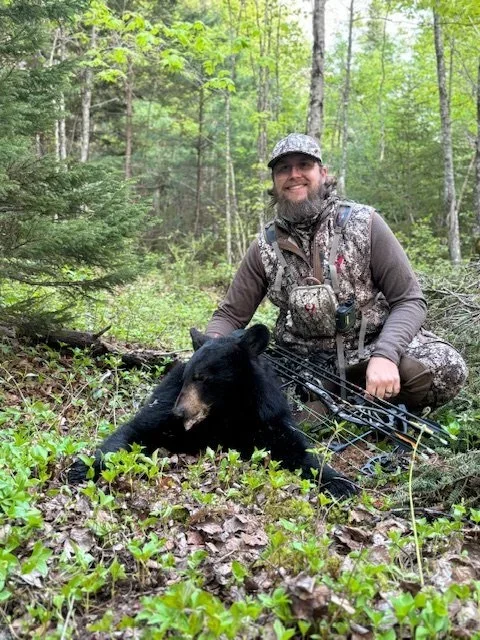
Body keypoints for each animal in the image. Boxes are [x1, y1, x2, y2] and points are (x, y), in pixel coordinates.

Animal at [68, 324, 357, 498]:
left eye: (202, 377)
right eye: (186, 376)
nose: (179, 412)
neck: (226, 412)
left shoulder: (265, 418)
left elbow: (297, 450)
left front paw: (342, 483)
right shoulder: (167, 405)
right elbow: (138, 429)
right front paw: (84, 467)